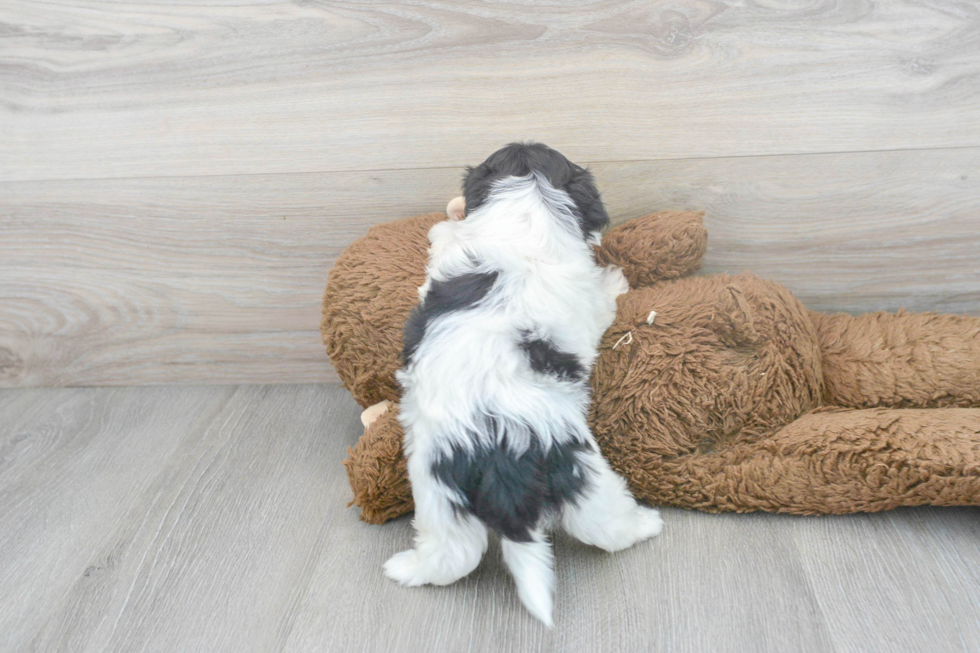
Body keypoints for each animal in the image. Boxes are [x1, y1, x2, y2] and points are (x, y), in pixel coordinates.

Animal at [386, 144, 664, 628]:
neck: (525, 206)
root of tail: (500, 458)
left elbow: (446, 237)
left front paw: (440, 226)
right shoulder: (588, 301)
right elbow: (604, 298)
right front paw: (617, 280)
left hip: (439, 488)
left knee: (453, 554)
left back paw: (406, 569)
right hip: (578, 466)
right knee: (604, 526)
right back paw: (647, 524)